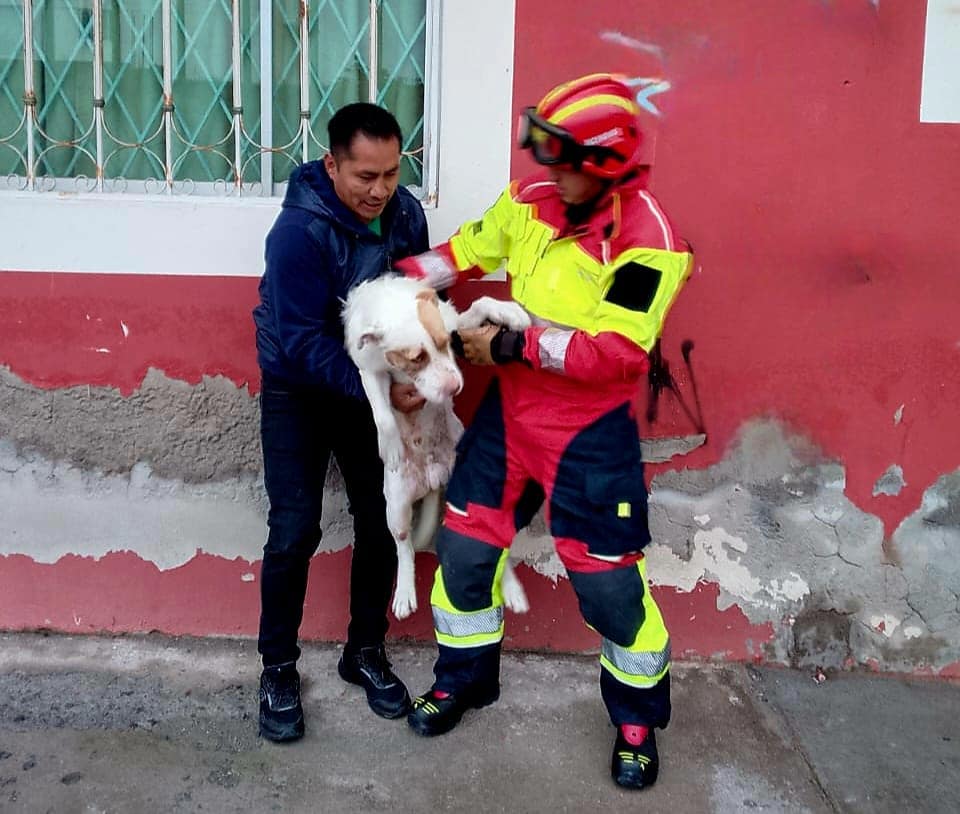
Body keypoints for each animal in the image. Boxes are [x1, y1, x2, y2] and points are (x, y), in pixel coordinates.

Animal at [342, 278, 528, 620]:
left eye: (445, 343)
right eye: (416, 358)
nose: (454, 388)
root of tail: (433, 480)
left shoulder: (455, 323)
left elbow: (480, 304)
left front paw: (510, 312)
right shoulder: (369, 371)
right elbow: (382, 411)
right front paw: (391, 447)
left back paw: (510, 588)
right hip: (396, 508)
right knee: (404, 549)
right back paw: (404, 592)